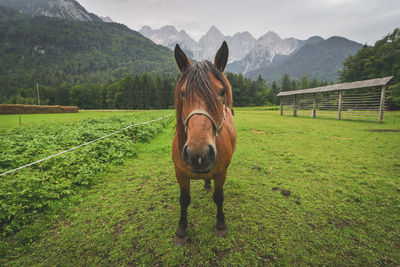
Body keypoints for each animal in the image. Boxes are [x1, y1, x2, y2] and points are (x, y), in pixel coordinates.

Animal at [170, 42, 236, 247]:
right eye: (183, 93)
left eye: (221, 92)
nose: (198, 154)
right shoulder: (180, 173)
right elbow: (184, 200)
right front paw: (181, 230)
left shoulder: (222, 173)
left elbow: (219, 197)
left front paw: (221, 225)